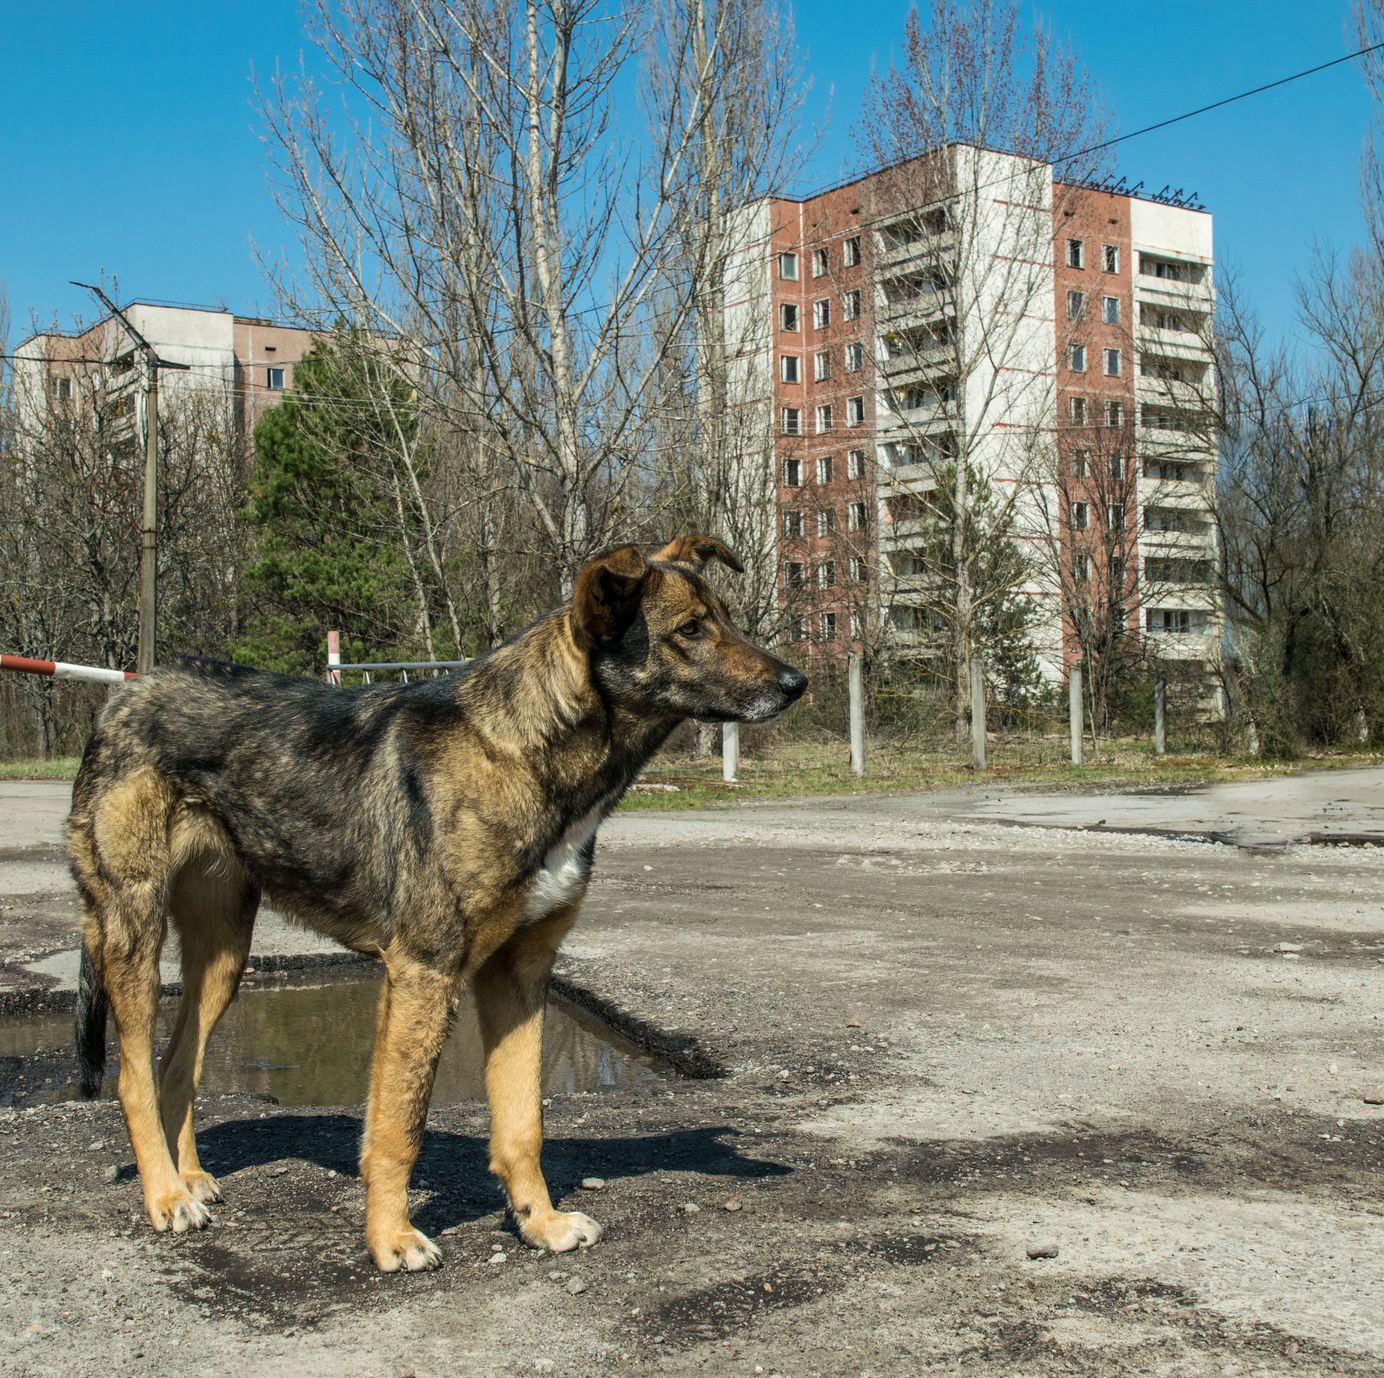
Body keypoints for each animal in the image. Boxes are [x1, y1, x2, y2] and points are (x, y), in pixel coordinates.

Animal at [70, 536, 808, 1272]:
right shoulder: (425, 972)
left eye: (726, 618)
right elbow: (399, 1126)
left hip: (224, 953)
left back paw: (187, 1176)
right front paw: (389, 1238)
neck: (528, 752)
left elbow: (523, 1123)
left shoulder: (519, 976)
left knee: (178, 1066)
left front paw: (539, 1223)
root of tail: (125, 697)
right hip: (134, 934)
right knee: (133, 1076)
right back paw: (165, 1195)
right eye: (691, 630)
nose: (797, 683)